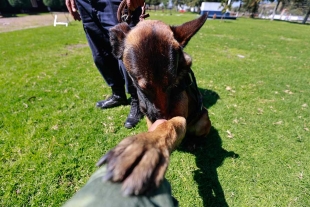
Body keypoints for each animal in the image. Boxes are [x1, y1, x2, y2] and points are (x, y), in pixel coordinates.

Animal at [98, 13, 212, 195]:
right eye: (142, 87)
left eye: (171, 84)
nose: (161, 116)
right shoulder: (148, 116)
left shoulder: (179, 117)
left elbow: (170, 125)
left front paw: (148, 145)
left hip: (203, 119)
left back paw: (195, 141)